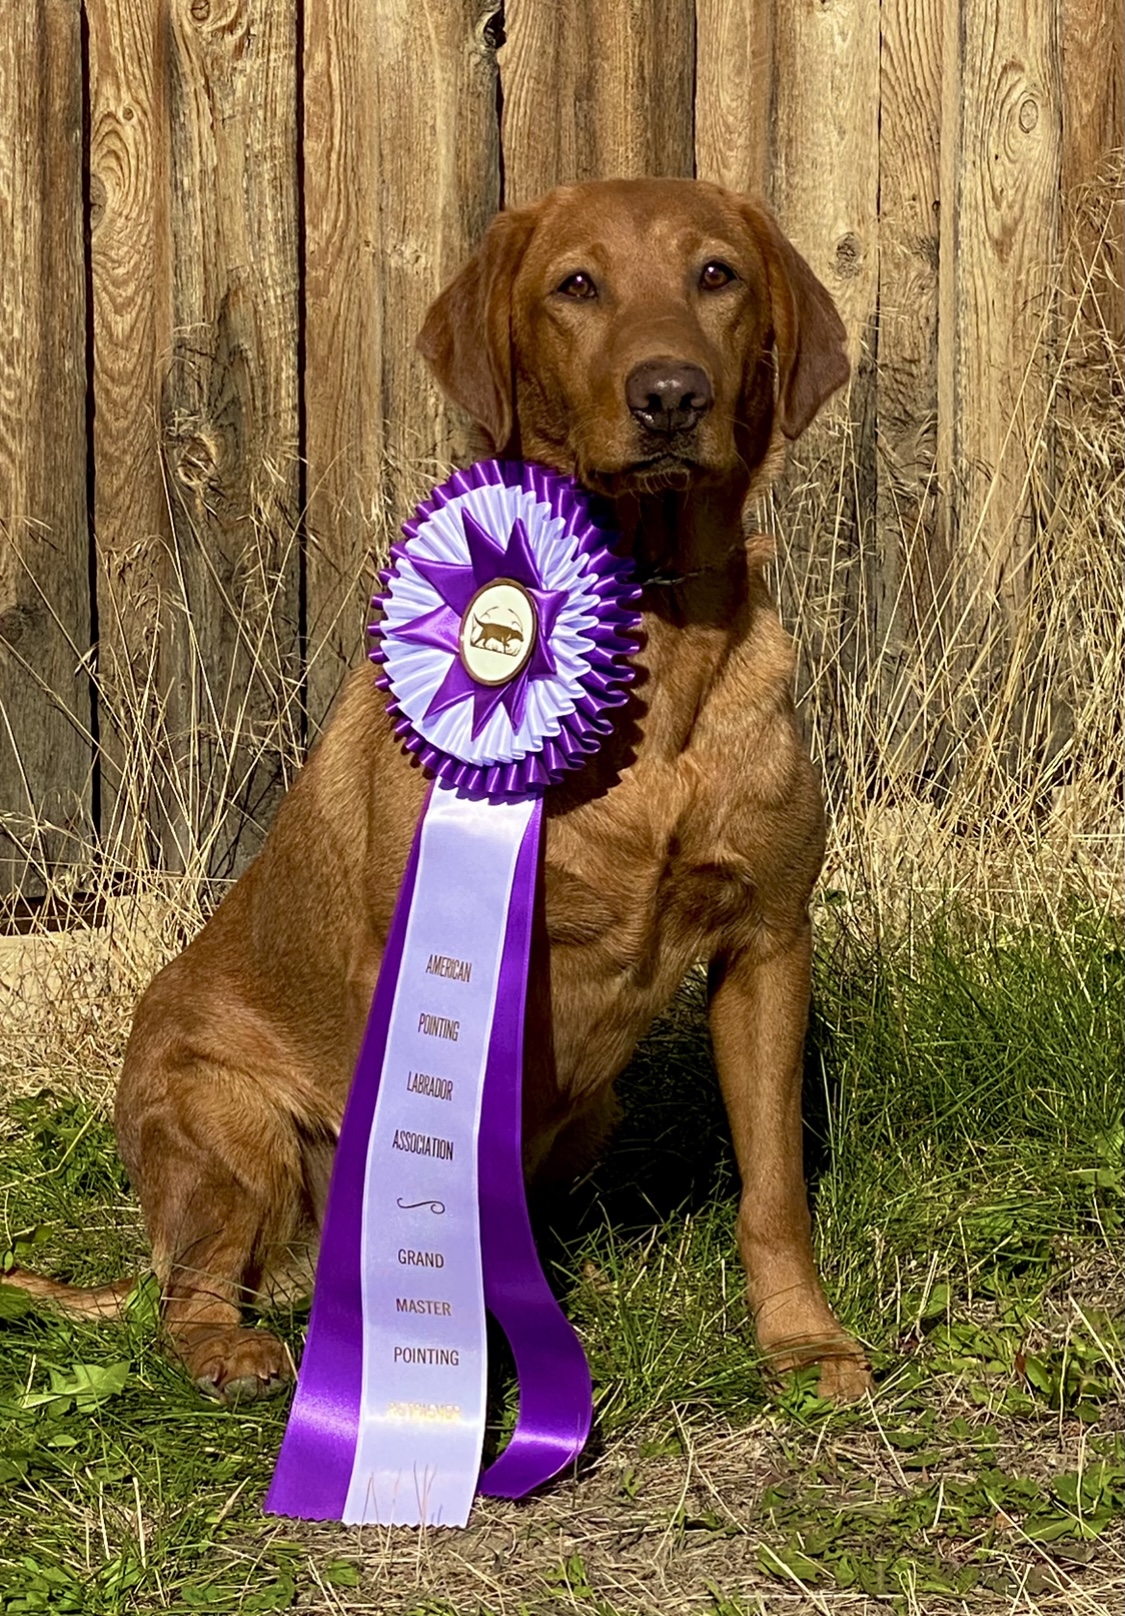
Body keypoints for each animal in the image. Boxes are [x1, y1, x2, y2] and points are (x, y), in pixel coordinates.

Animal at [11, 180, 872, 1402]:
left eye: (717, 275)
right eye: (576, 284)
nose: (670, 395)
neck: (649, 624)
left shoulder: (766, 943)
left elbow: (774, 1186)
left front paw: (799, 1336)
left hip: (591, 1105)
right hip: (223, 1117)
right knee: (191, 1290)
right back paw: (239, 1346)